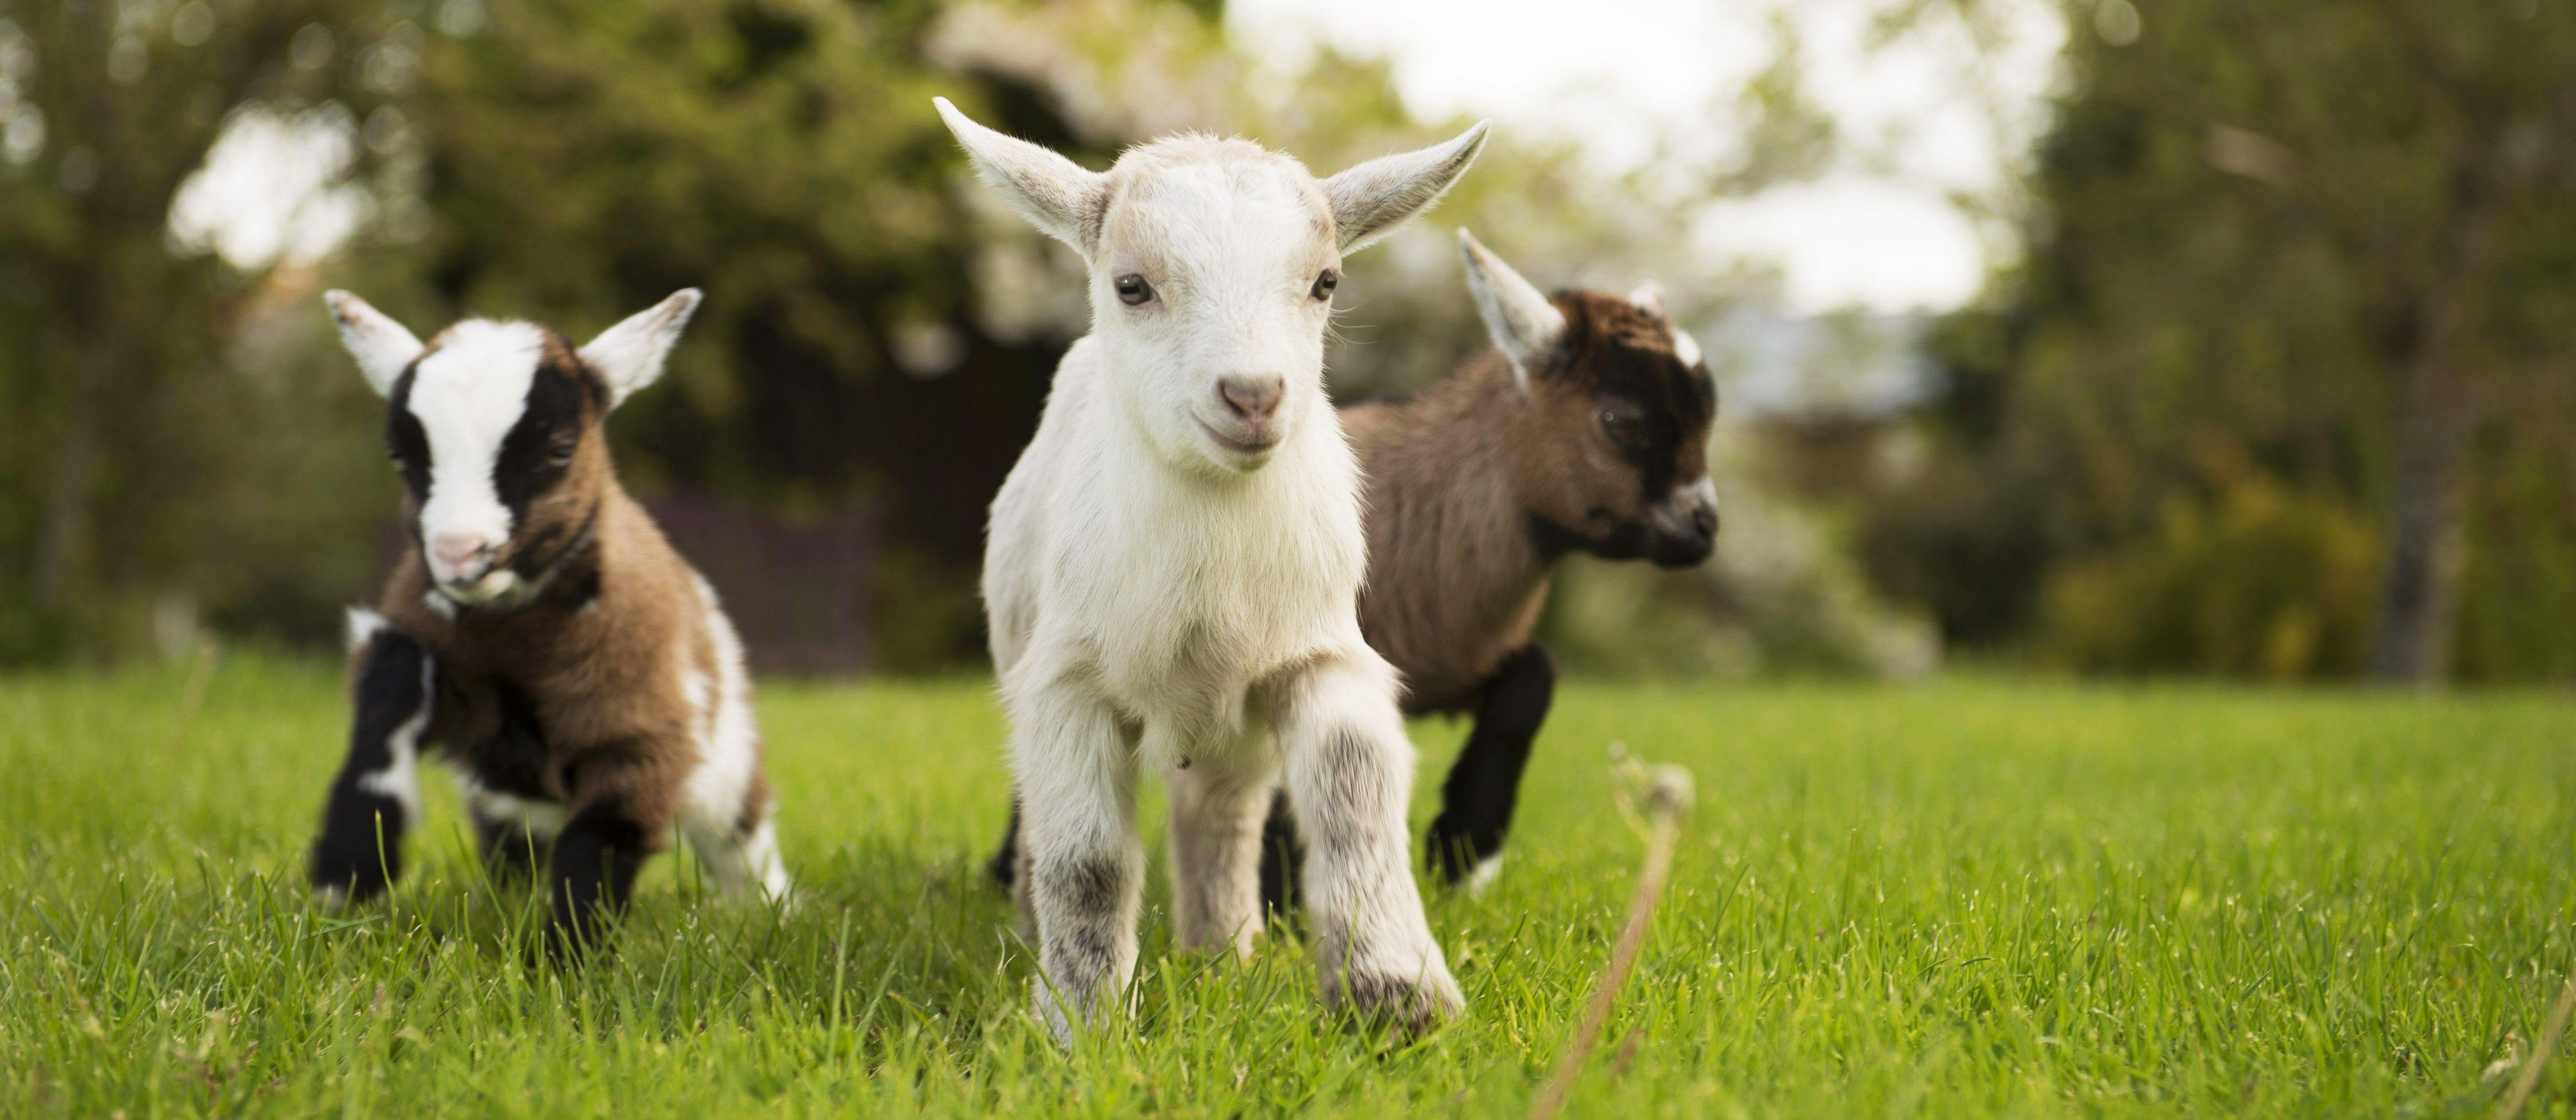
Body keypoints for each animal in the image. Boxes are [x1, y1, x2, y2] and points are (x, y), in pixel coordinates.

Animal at [308, 289, 789, 956]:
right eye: (401, 458)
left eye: (559, 450)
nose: (460, 552)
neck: (515, 641)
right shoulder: (435, 661)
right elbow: (391, 686)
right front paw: (346, 873)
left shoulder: (639, 733)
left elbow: (600, 840)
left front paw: (567, 964)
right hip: (509, 800)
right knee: (514, 845)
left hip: (728, 759)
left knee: (742, 841)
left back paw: (776, 915)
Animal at [936, 97, 1487, 1040]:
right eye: (1132, 285)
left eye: (1325, 282)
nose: (1253, 396)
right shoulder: (1067, 684)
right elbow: (1088, 861)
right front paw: (1081, 1024)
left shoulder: (1317, 652)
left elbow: (1353, 796)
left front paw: (1398, 999)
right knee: (1057, 833)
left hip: (1232, 728)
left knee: (1220, 817)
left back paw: (1223, 957)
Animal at [988, 231, 1720, 903]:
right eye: (1621, 421)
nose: (1704, 526)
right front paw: (1282, 900)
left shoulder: (1453, 660)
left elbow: (1534, 676)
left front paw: (1462, 847)